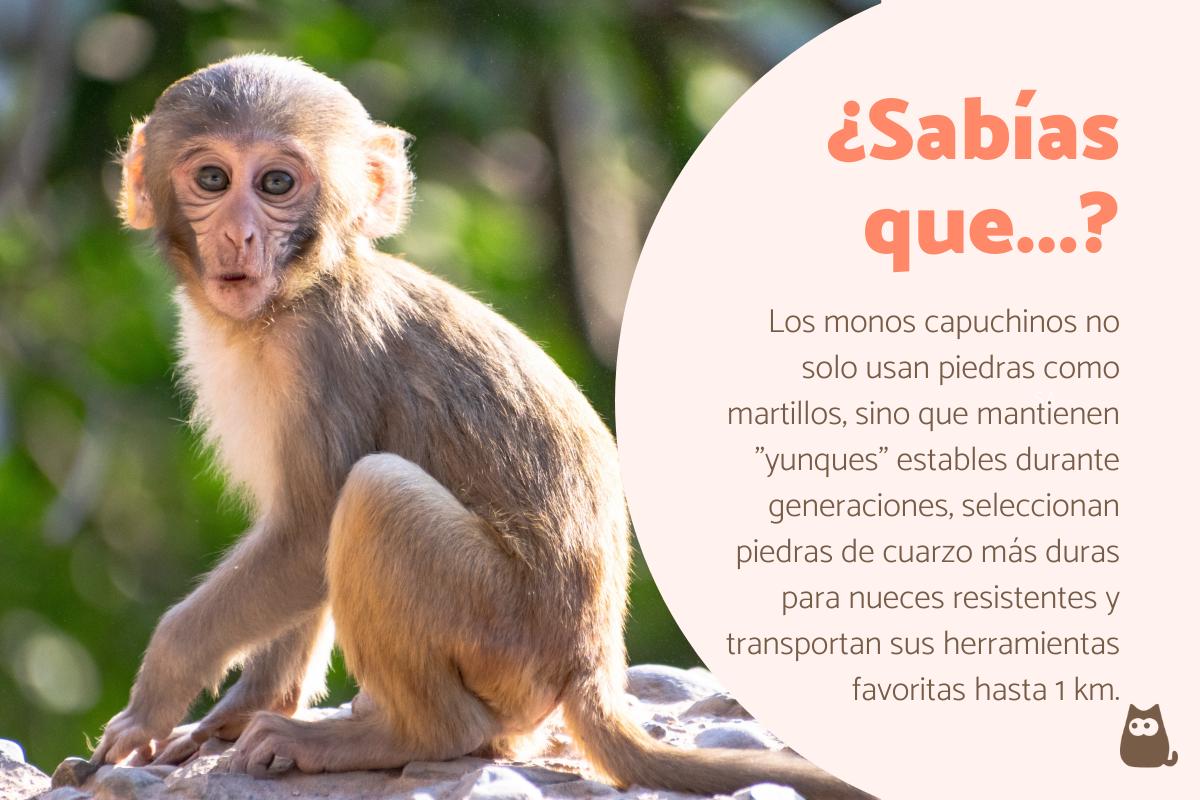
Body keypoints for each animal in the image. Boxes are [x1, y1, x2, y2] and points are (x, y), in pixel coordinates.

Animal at [88, 55, 874, 800]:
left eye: (277, 183)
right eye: (213, 178)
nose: (238, 232)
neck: (295, 295)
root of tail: (591, 661)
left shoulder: (323, 355)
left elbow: (308, 532)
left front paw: (156, 694)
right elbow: (294, 544)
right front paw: (238, 711)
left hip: (503, 631)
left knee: (375, 495)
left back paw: (400, 735)